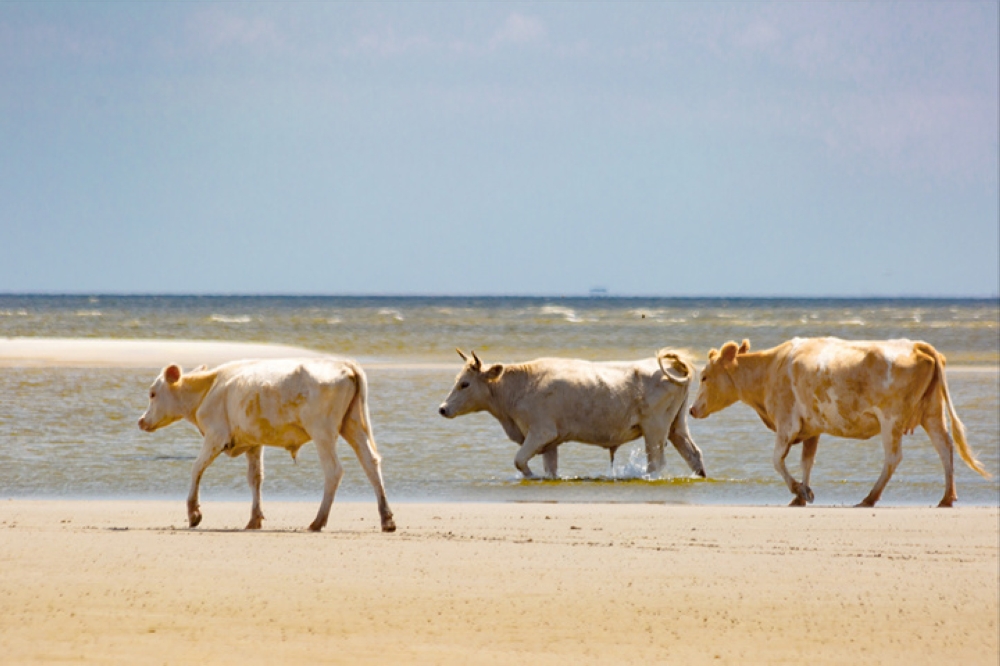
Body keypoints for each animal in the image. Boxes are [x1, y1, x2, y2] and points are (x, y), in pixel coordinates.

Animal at [138, 358, 396, 532]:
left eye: (152, 393)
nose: (141, 421)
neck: (209, 388)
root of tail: (344, 363)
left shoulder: (215, 436)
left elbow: (196, 468)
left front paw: (193, 513)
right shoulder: (253, 442)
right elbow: (255, 478)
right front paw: (254, 519)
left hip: (322, 431)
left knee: (334, 471)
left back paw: (318, 521)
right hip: (353, 426)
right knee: (371, 463)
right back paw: (387, 519)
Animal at [437, 349, 706, 479]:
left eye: (465, 384)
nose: (442, 408)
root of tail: (674, 365)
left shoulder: (541, 432)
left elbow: (519, 460)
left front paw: (530, 475)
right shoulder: (549, 442)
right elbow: (550, 469)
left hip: (655, 429)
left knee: (656, 463)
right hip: (676, 426)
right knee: (693, 453)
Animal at [689, 337, 991, 507]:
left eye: (704, 376)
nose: (692, 409)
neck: (770, 369)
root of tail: (915, 345)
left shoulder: (787, 423)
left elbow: (776, 461)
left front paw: (798, 490)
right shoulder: (811, 428)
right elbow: (807, 462)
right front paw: (802, 493)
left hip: (891, 419)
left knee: (893, 457)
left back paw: (869, 498)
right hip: (932, 413)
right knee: (945, 448)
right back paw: (947, 497)